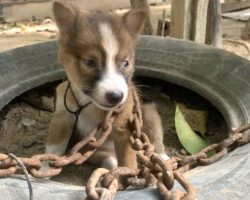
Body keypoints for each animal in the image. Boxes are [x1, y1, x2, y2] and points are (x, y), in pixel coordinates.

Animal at [46, 0, 169, 170]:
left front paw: (129, 176)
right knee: (110, 160)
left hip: (149, 113)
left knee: (156, 140)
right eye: (90, 62)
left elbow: (128, 163)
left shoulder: (123, 126)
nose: (116, 97)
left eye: (126, 63)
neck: (88, 103)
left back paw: (163, 159)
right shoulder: (61, 117)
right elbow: (53, 148)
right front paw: (43, 169)